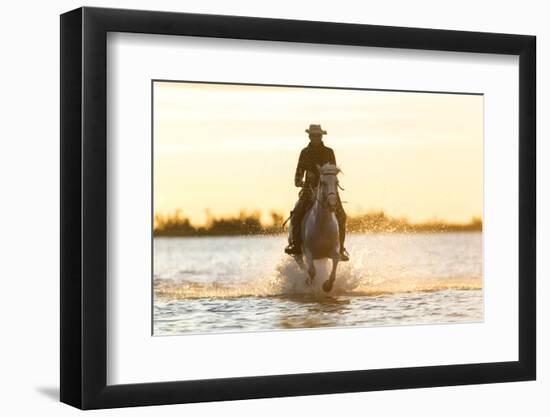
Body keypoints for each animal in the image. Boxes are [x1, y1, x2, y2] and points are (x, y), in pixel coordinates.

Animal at [292, 161, 342, 290]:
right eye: (322, 182)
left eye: (336, 182)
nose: (332, 203)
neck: (322, 224)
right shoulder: (308, 251)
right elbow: (311, 271)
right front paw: (310, 283)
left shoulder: (334, 250)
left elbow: (335, 264)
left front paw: (327, 286)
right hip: (298, 254)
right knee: (302, 265)